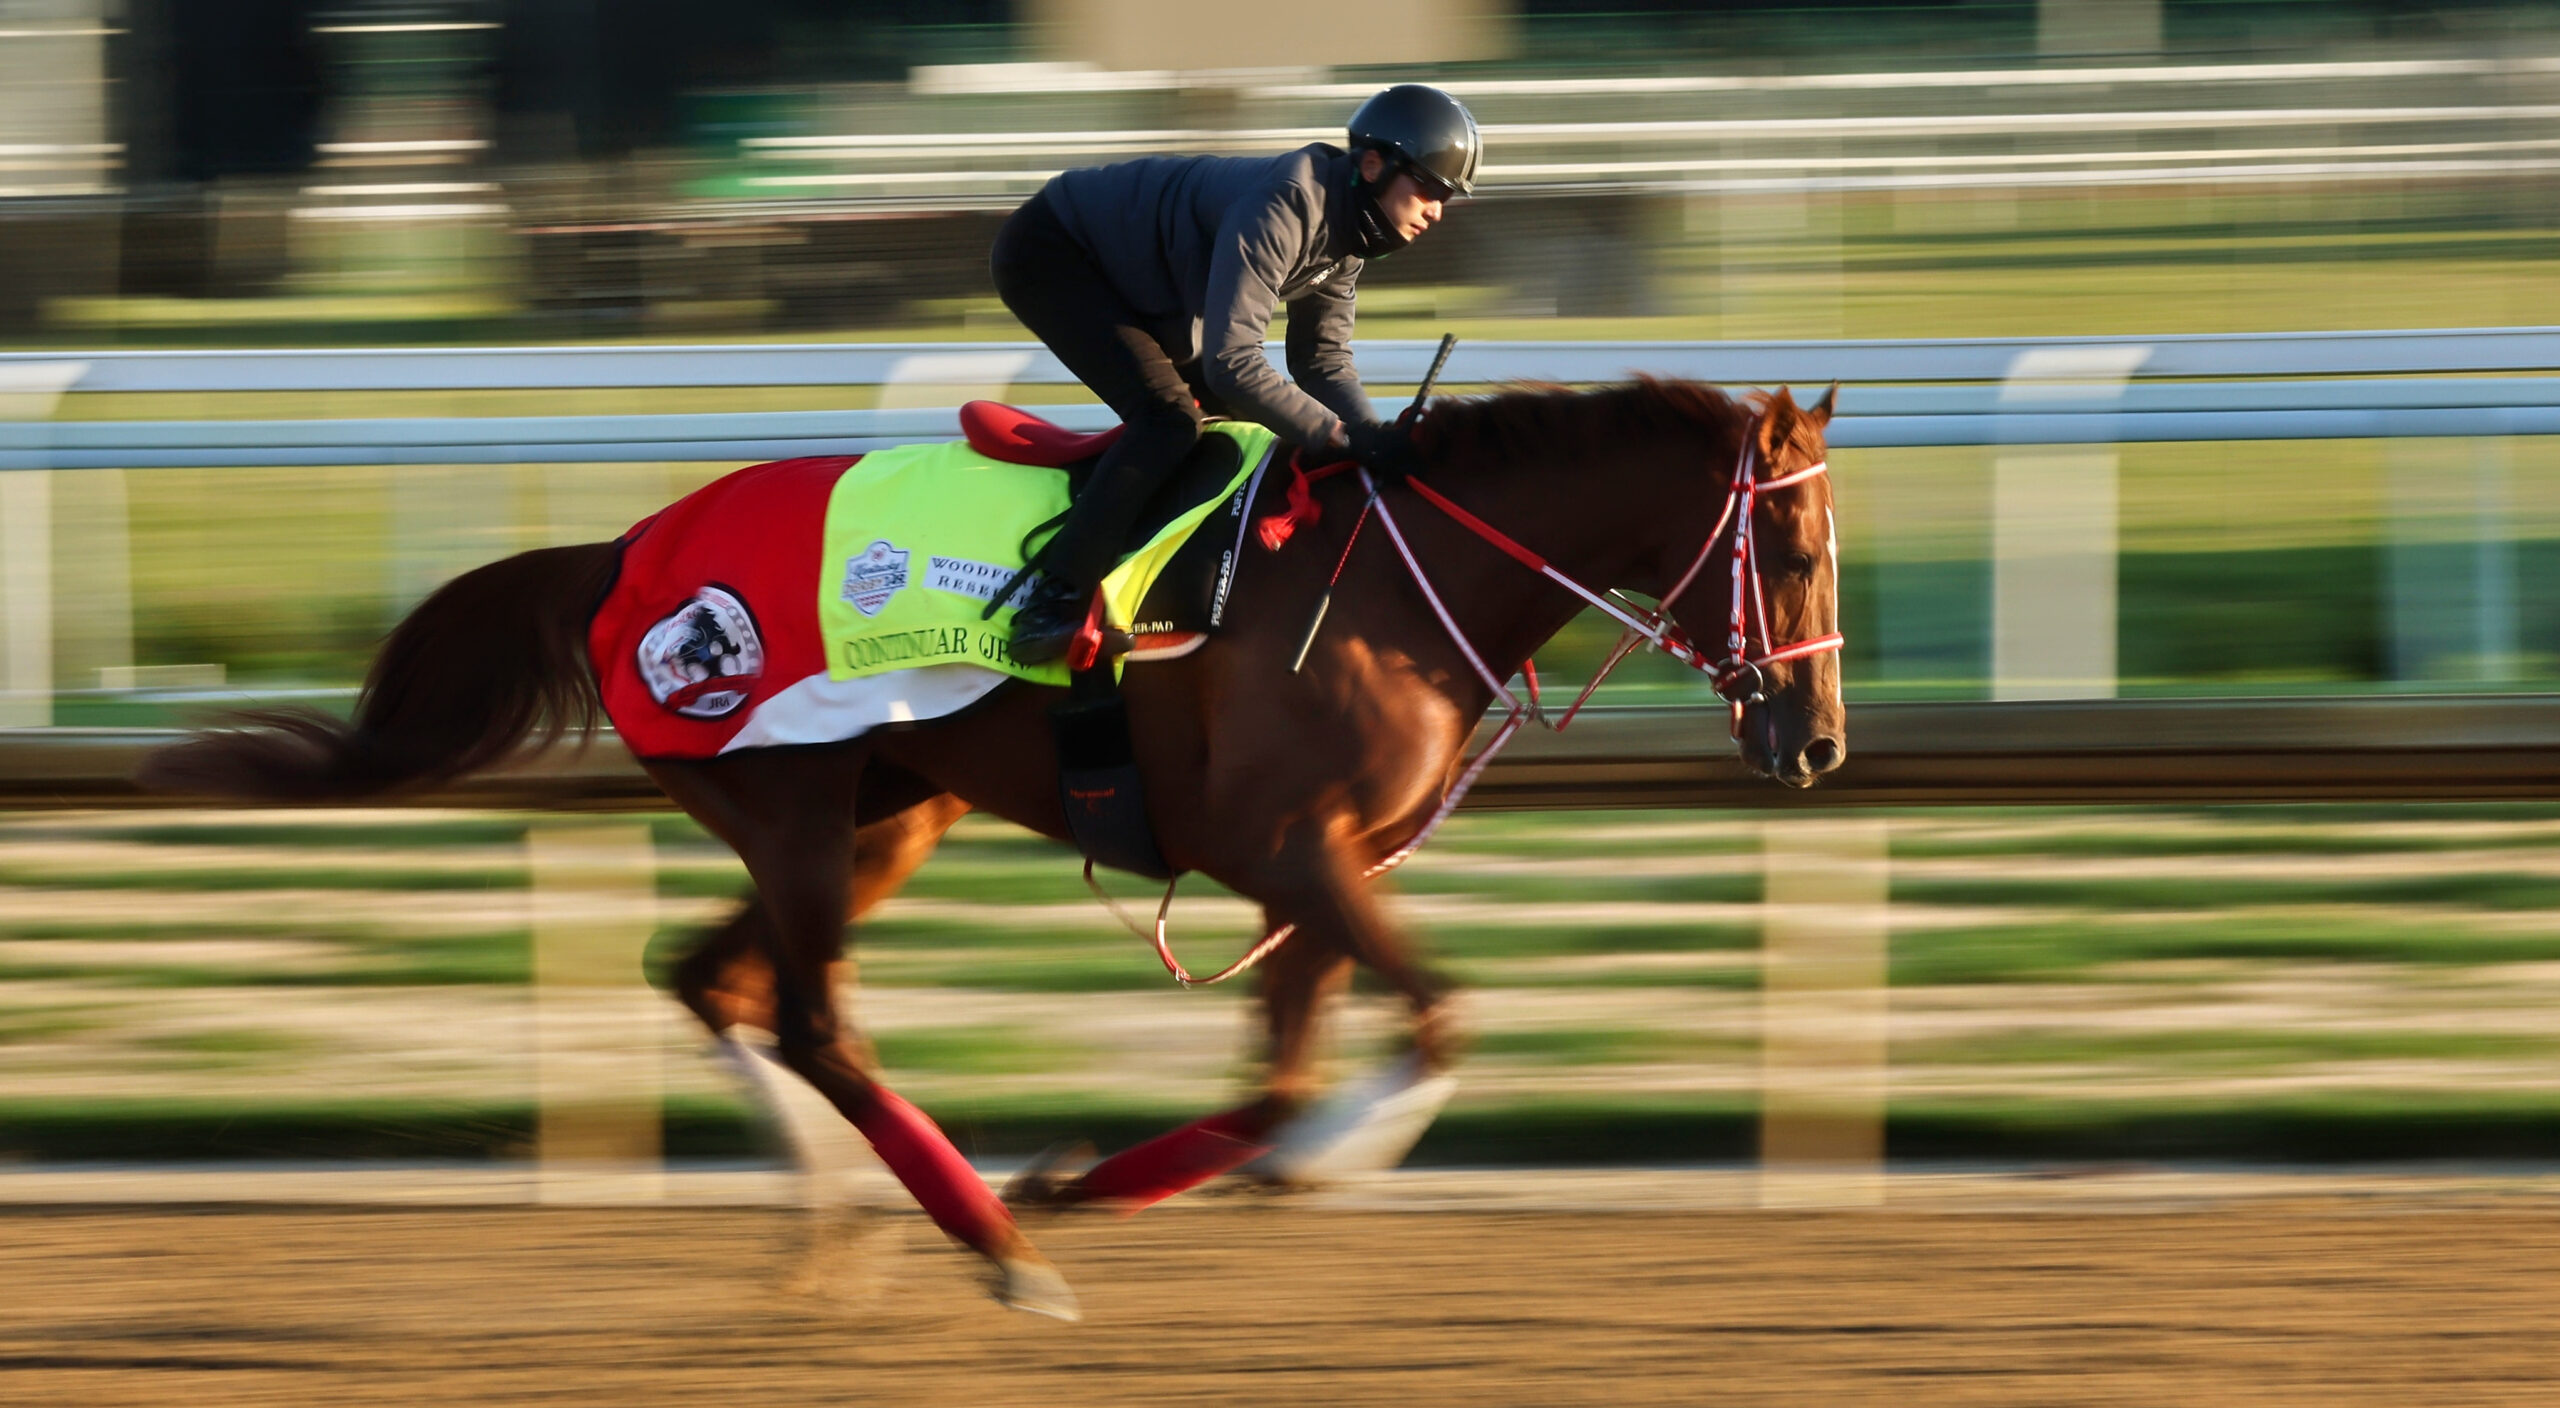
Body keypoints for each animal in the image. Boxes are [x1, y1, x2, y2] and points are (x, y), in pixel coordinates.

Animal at [145, 378, 1843, 1320]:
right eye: (1789, 542)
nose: (1815, 742)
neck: (1391, 579)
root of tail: (626, 549)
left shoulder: (1319, 872)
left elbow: (1289, 1075)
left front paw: (1152, 1173)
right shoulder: (1296, 852)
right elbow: (1433, 1021)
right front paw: (1141, 1186)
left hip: (885, 807)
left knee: (713, 983)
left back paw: (853, 1228)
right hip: (798, 804)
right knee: (812, 1020)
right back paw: (994, 1249)